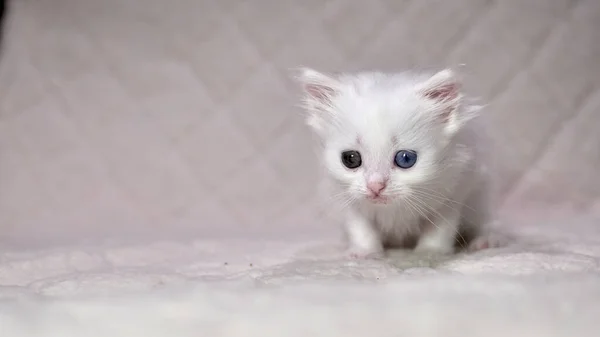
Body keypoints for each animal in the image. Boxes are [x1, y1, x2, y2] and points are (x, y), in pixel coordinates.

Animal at [296, 67, 502, 258]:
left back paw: (486, 240)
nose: (375, 186)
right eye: (351, 159)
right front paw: (365, 252)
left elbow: (440, 226)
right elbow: (360, 226)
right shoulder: (344, 195)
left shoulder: (457, 187)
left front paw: (430, 251)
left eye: (405, 159)